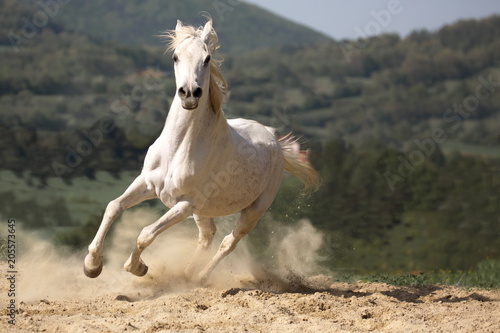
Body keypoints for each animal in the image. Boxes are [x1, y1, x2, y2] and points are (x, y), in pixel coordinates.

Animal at [82, 18, 316, 282]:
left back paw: (200, 277)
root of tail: (272, 138)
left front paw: (137, 267)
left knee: (228, 242)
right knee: (207, 236)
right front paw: (92, 265)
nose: (190, 94)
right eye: (175, 56)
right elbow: (113, 207)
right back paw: (186, 273)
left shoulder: (185, 204)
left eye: (207, 58)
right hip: (204, 211)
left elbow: (146, 234)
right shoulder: (146, 183)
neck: (177, 150)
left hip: (253, 210)